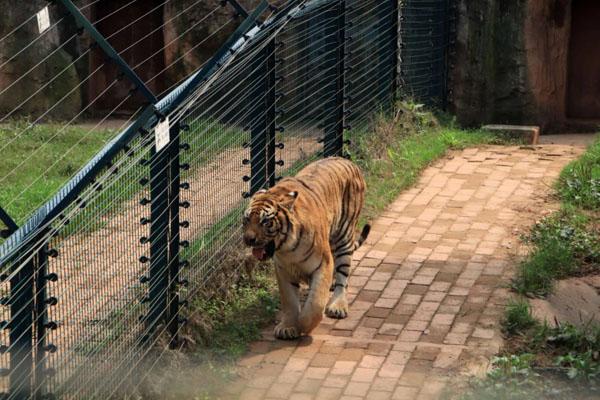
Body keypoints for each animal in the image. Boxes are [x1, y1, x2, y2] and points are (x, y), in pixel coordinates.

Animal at [241, 158, 368, 340]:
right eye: (246, 220)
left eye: (265, 221)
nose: (249, 239)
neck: (287, 248)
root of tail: (348, 161)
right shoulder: (283, 270)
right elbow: (289, 302)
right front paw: (287, 327)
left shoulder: (323, 264)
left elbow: (315, 302)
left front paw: (303, 325)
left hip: (344, 235)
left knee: (343, 276)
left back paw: (338, 305)